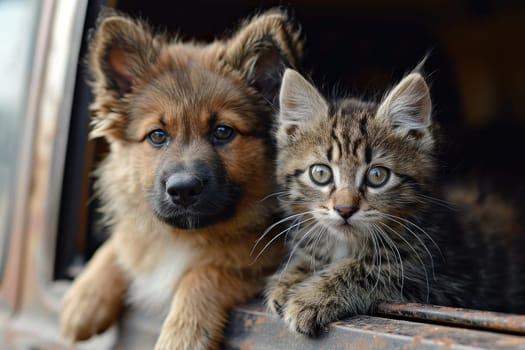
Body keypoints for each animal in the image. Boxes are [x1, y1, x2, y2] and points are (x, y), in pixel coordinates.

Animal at [59, 9, 300, 348]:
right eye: (157, 135)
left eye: (223, 131)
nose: (183, 190)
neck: (182, 237)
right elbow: (119, 242)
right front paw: (84, 298)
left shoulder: (262, 263)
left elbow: (204, 273)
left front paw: (183, 334)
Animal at [264, 67, 524, 336]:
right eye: (320, 173)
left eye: (377, 176)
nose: (345, 209)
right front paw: (289, 277)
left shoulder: (438, 278)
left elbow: (367, 271)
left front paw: (312, 296)